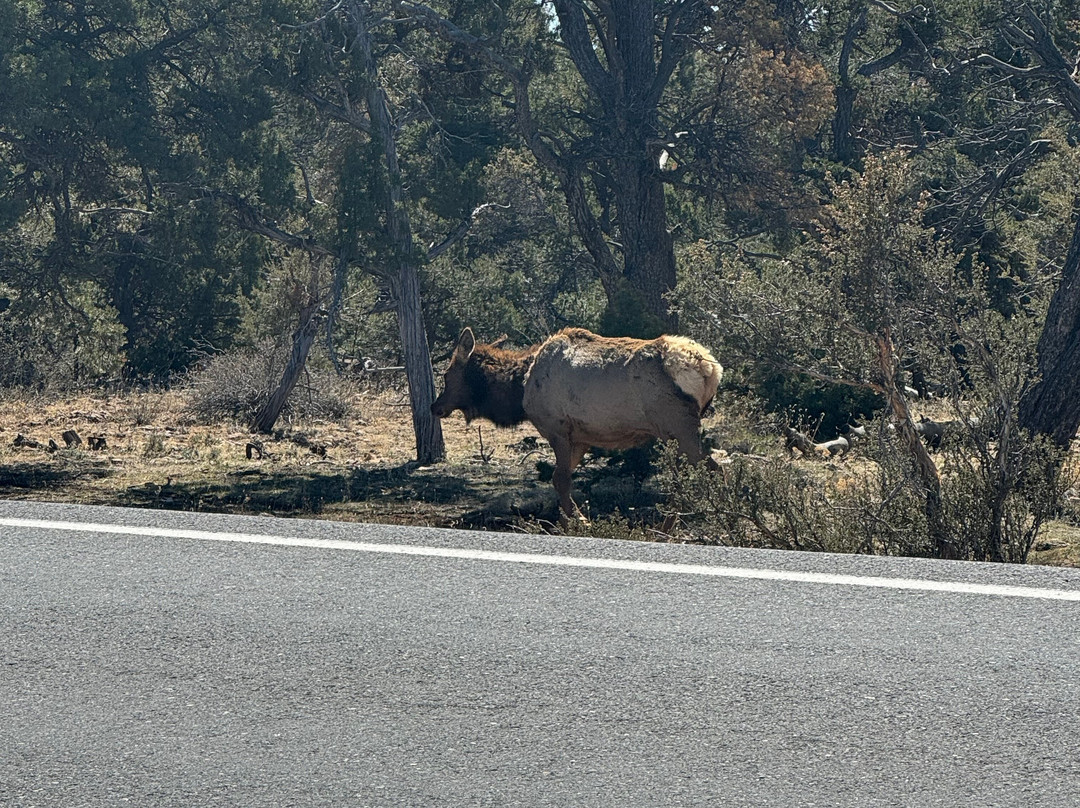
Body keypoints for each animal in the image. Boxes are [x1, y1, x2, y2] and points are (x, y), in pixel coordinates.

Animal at [432, 326, 725, 520]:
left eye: (447, 375)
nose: (436, 407)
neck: (519, 387)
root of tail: (711, 368)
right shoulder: (582, 437)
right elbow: (559, 478)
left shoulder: (557, 428)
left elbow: (560, 479)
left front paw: (576, 521)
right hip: (676, 432)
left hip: (677, 427)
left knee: (712, 470)